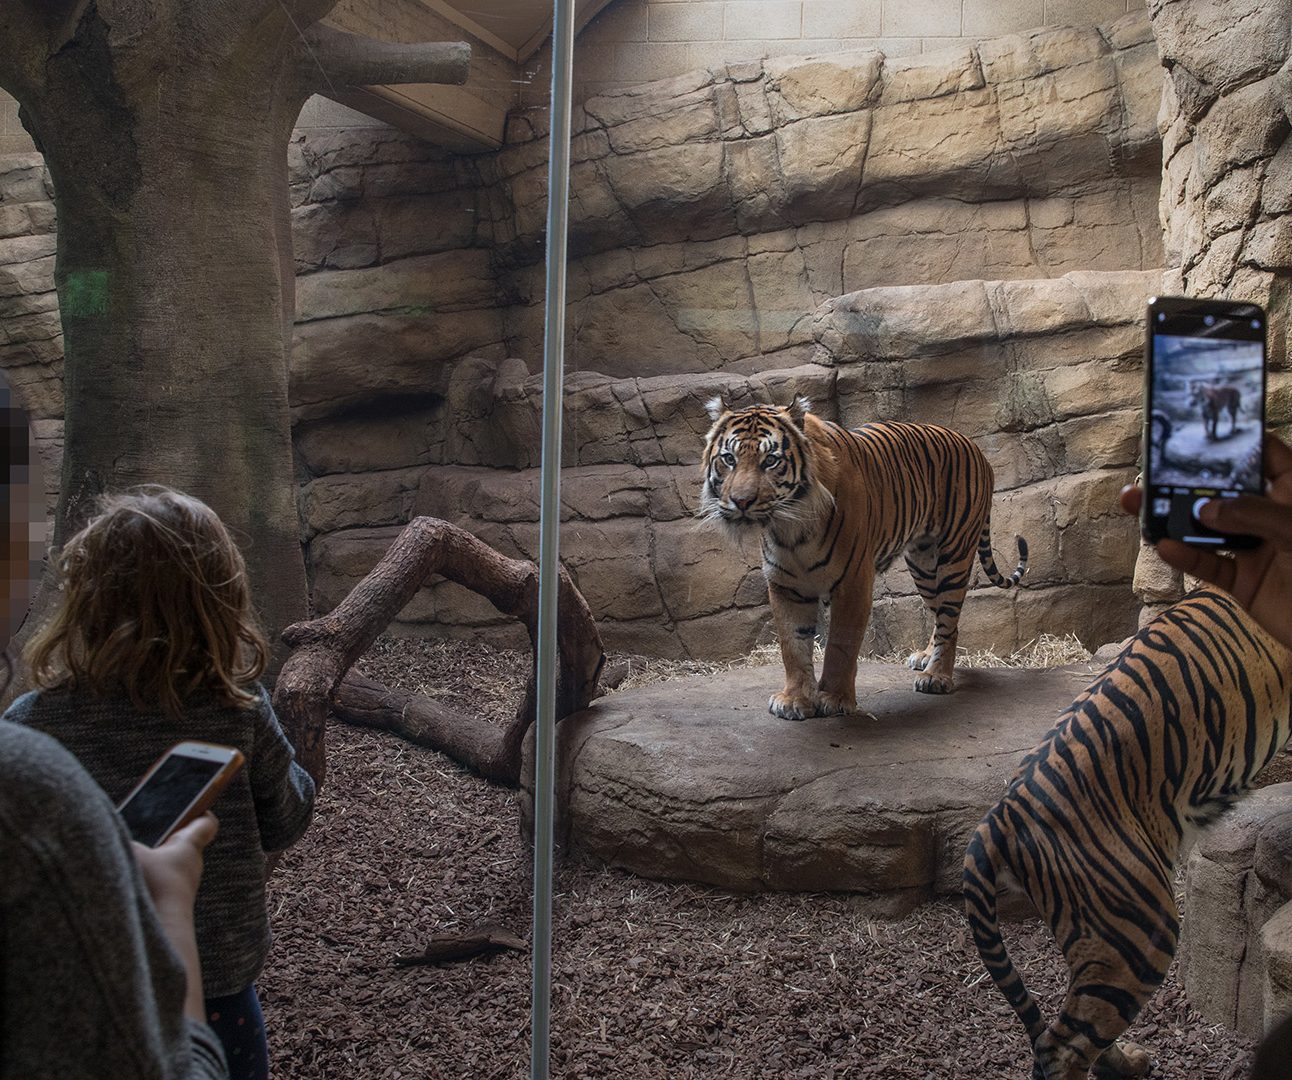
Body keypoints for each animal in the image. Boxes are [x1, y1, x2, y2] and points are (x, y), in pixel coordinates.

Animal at [702, 397, 1023, 718]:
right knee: (943, 617)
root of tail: (975, 446)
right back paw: (926, 657)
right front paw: (795, 699)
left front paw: (834, 698)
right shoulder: (785, 585)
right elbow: (792, 646)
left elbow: (840, 644)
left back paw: (936, 676)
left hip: (952, 557)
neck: (790, 528)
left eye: (770, 460)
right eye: (729, 459)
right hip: (924, 566)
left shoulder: (852, 580)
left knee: (950, 620)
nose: (741, 502)